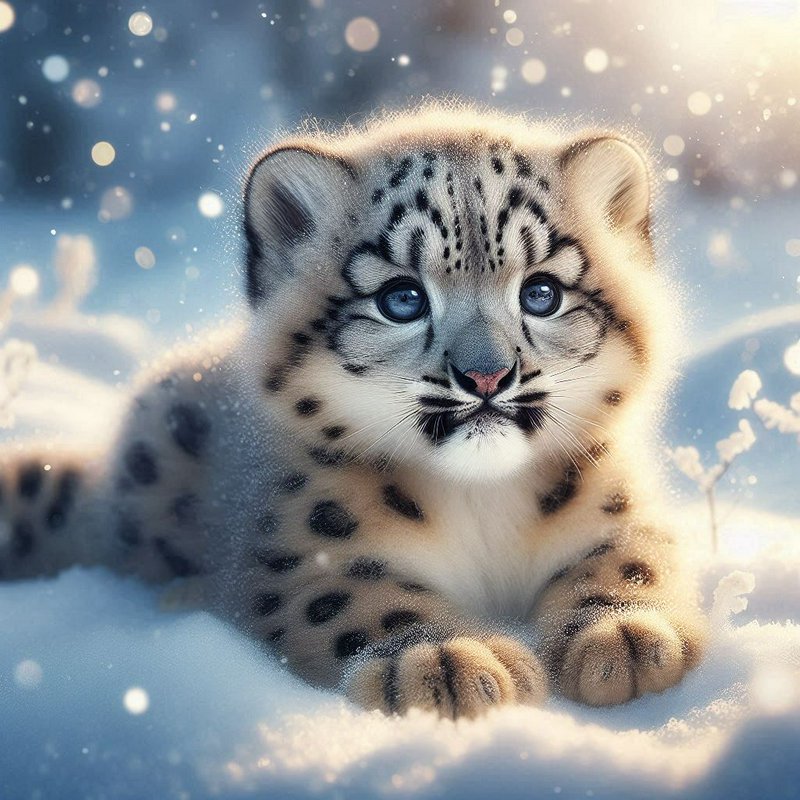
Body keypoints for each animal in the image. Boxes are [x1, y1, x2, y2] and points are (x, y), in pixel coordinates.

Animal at [0, 103, 708, 719]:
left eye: (541, 292)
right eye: (402, 298)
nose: (486, 375)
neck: (483, 505)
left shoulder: (621, 505)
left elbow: (634, 556)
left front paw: (626, 634)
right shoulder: (305, 554)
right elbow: (362, 599)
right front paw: (447, 659)